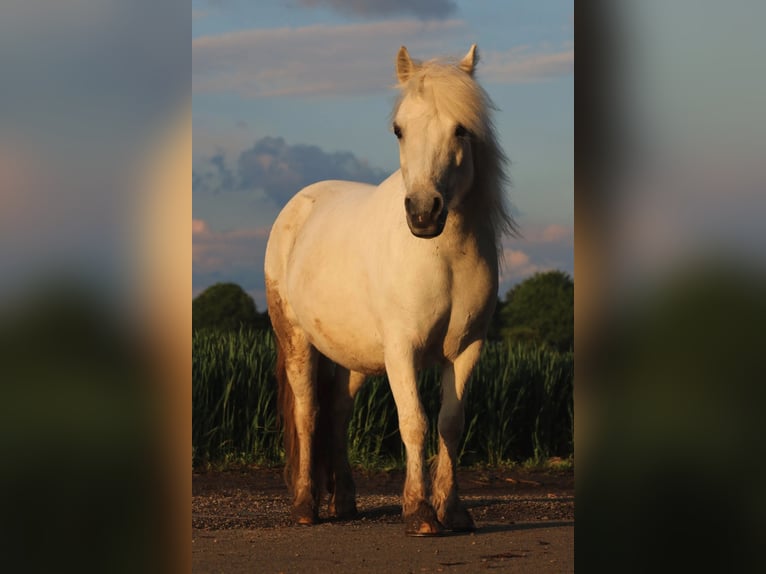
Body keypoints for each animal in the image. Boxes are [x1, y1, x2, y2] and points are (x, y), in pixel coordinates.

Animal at [264, 44, 516, 536]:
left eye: (461, 128)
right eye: (399, 130)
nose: (422, 213)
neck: (443, 256)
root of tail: (297, 206)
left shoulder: (467, 349)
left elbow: (450, 424)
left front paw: (453, 511)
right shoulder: (402, 349)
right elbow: (414, 422)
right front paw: (419, 512)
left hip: (354, 356)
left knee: (337, 413)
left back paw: (344, 502)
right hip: (298, 341)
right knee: (308, 413)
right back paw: (305, 506)